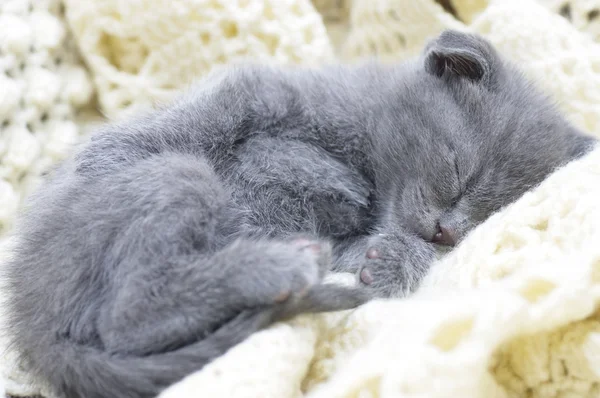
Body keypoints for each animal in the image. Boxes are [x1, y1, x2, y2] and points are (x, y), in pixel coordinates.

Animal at [3, 31, 596, 398]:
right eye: (458, 169)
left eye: (494, 212)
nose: (448, 230)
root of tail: (32, 327)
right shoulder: (285, 95)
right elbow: (208, 116)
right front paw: (109, 152)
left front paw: (395, 262)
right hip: (180, 176)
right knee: (128, 316)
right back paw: (275, 266)